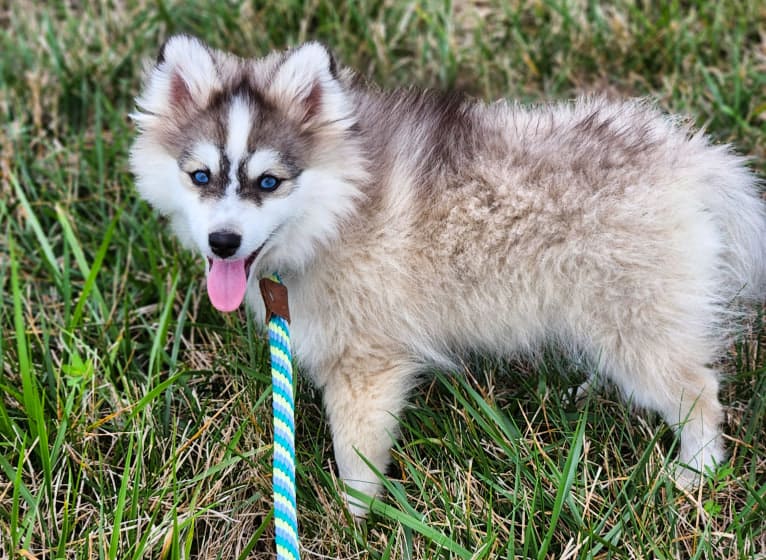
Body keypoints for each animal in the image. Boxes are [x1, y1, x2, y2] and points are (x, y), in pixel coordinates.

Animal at [132, 34, 766, 516]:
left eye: (269, 181)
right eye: (200, 176)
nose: (223, 242)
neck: (337, 211)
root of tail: (692, 164)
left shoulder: (367, 363)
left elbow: (356, 453)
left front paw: (354, 517)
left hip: (636, 319)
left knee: (699, 393)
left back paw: (696, 472)